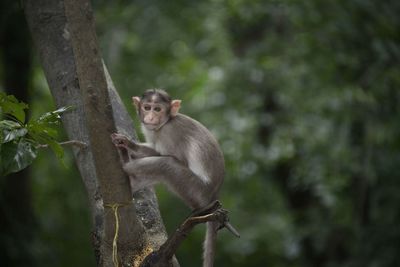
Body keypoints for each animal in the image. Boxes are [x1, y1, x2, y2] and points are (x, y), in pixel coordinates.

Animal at [110, 89, 225, 267]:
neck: (165, 123)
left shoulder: (169, 133)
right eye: (147, 107)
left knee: (166, 164)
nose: (150, 117)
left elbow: (170, 157)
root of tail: (214, 195)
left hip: (196, 190)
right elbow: (155, 150)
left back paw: (126, 165)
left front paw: (128, 150)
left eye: (158, 109)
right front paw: (128, 143)